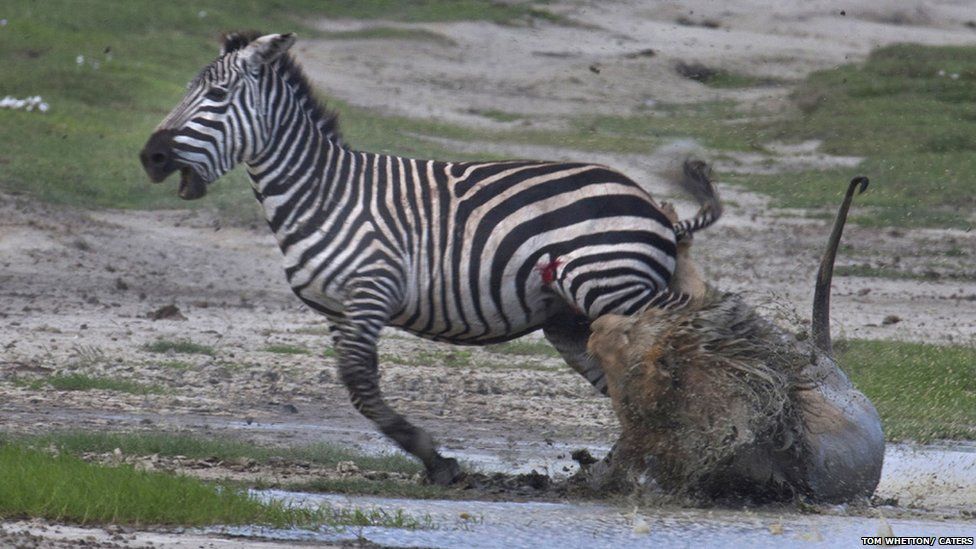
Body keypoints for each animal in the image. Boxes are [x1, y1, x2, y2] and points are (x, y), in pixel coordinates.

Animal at [143, 31, 724, 484]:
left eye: (217, 94)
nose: (151, 157)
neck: (322, 193)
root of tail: (649, 202)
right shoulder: (337, 310)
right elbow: (359, 391)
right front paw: (433, 459)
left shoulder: (370, 291)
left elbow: (361, 385)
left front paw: (437, 460)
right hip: (572, 317)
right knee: (624, 385)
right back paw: (625, 468)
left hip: (613, 289)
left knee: (650, 378)